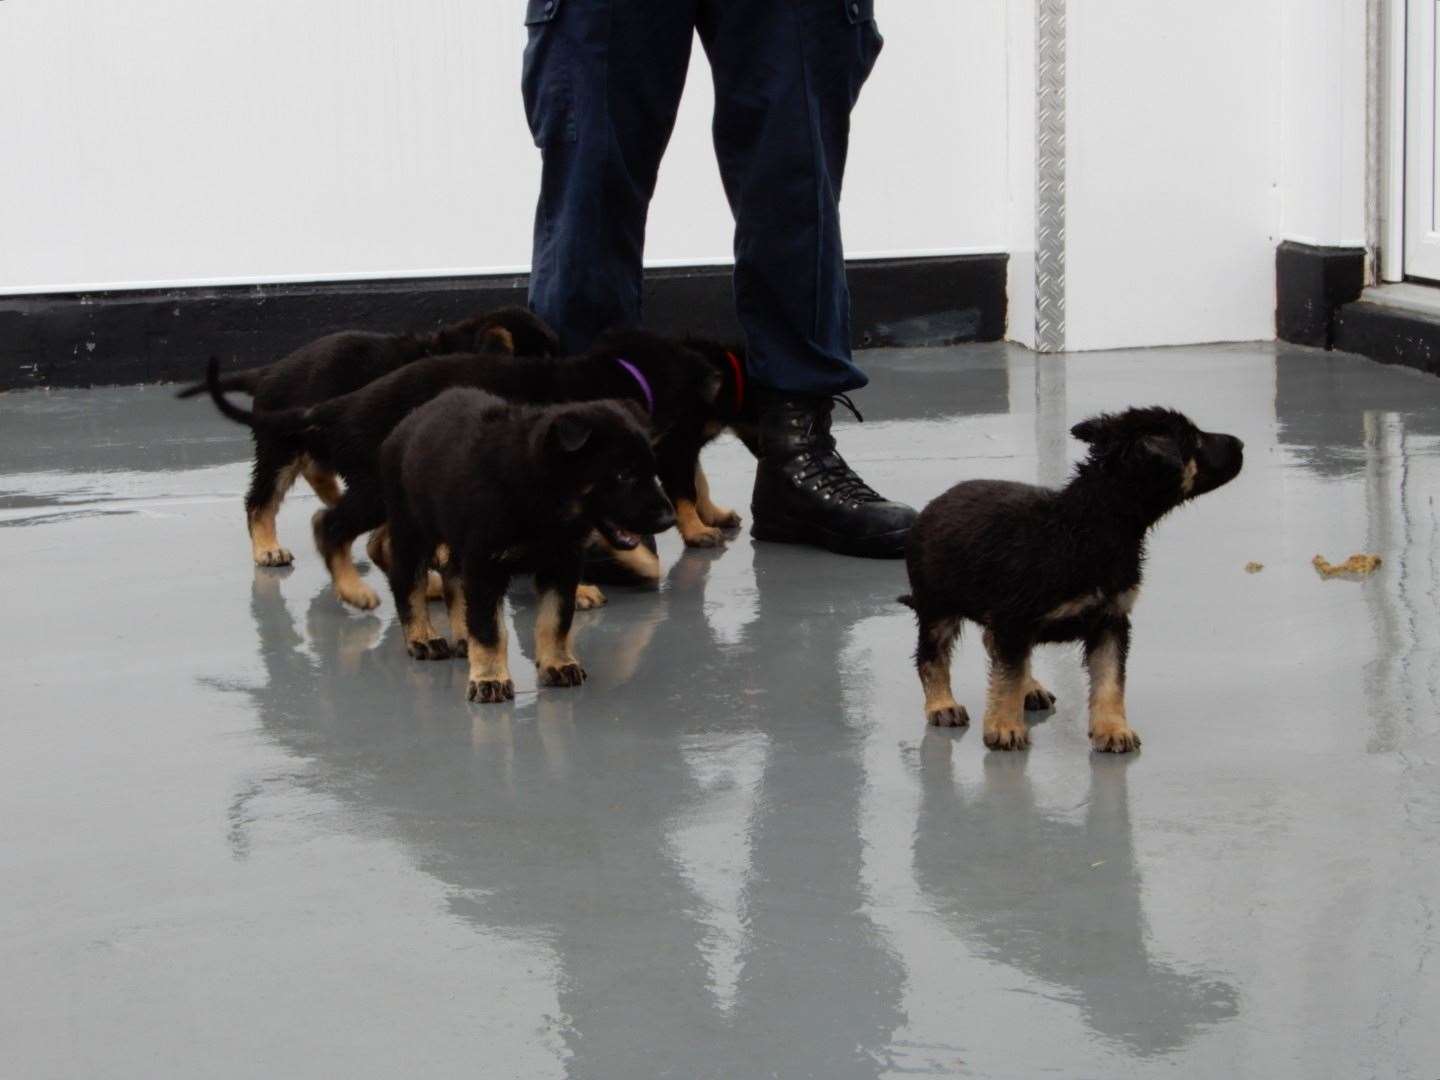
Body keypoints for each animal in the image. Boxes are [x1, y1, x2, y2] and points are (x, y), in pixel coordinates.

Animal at [177, 305, 558, 567]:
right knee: (260, 499)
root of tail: (268, 372)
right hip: (279, 447)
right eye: (538, 362)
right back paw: (268, 548)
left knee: (316, 470)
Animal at [208, 325, 748, 613]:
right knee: (324, 522)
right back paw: (348, 585)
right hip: (376, 486)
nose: (663, 519)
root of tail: (345, 405)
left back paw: (425, 586)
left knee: (379, 542)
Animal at [380, 385, 676, 702]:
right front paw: (489, 678)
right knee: (407, 584)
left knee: (453, 579)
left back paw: (463, 637)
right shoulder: (486, 564)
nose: (669, 519)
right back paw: (422, 637)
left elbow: (555, 618)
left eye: (651, 471)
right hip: (412, 531)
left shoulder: (561, 563)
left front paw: (557, 663)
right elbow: (489, 628)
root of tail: (409, 420)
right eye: (623, 474)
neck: (541, 493)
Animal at [904, 406, 1244, 754]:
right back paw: (943, 705)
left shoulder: (1110, 620)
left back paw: (1030, 688)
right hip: (937, 606)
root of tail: (936, 502)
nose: (1241, 444)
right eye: (1193, 440)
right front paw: (1004, 727)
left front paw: (1113, 729)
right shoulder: (1014, 619)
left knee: (992, 642)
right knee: (932, 655)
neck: (1090, 523)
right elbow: (1007, 677)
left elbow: (1110, 679)